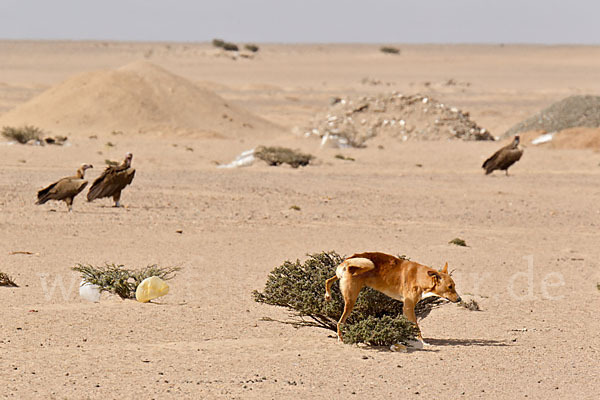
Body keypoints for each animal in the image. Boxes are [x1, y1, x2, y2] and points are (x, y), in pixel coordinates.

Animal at [326, 252, 462, 342]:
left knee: (328, 280)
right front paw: (422, 341)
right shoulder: (408, 307)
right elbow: (416, 326)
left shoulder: (406, 309)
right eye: (450, 287)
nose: (459, 299)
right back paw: (341, 338)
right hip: (351, 300)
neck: (421, 278)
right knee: (340, 322)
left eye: (454, 286)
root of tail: (348, 262)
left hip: (342, 283)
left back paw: (328, 295)